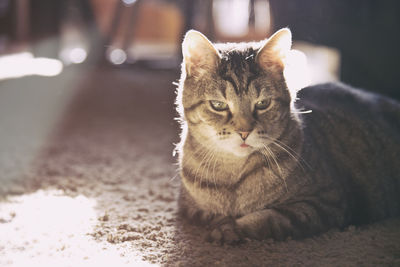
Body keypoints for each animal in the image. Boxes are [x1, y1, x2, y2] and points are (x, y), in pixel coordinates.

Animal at [176, 28, 400, 245]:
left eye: (263, 104)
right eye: (218, 105)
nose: (244, 131)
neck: (233, 175)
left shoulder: (324, 201)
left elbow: (267, 218)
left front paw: (232, 229)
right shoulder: (189, 207)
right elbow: (212, 214)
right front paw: (223, 223)